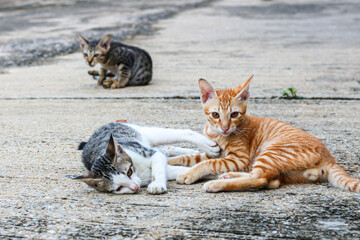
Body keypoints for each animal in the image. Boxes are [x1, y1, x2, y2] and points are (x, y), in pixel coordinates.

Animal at [71, 123, 219, 194]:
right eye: (119, 188)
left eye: (128, 172)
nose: (135, 187)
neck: (138, 170)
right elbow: (177, 170)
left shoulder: (149, 154)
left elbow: (158, 168)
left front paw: (157, 184)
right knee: (166, 148)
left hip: (145, 134)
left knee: (183, 133)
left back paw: (207, 145)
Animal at [169, 76, 360, 192]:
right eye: (215, 115)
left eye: (234, 114)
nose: (225, 128)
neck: (217, 134)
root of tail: (329, 156)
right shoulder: (213, 153)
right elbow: (188, 158)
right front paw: (170, 160)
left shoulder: (239, 159)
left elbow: (207, 164)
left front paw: (189, 173)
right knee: (270, 180)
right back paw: (228, 176)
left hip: (272, 152)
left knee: (260, 179)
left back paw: (218, 183)